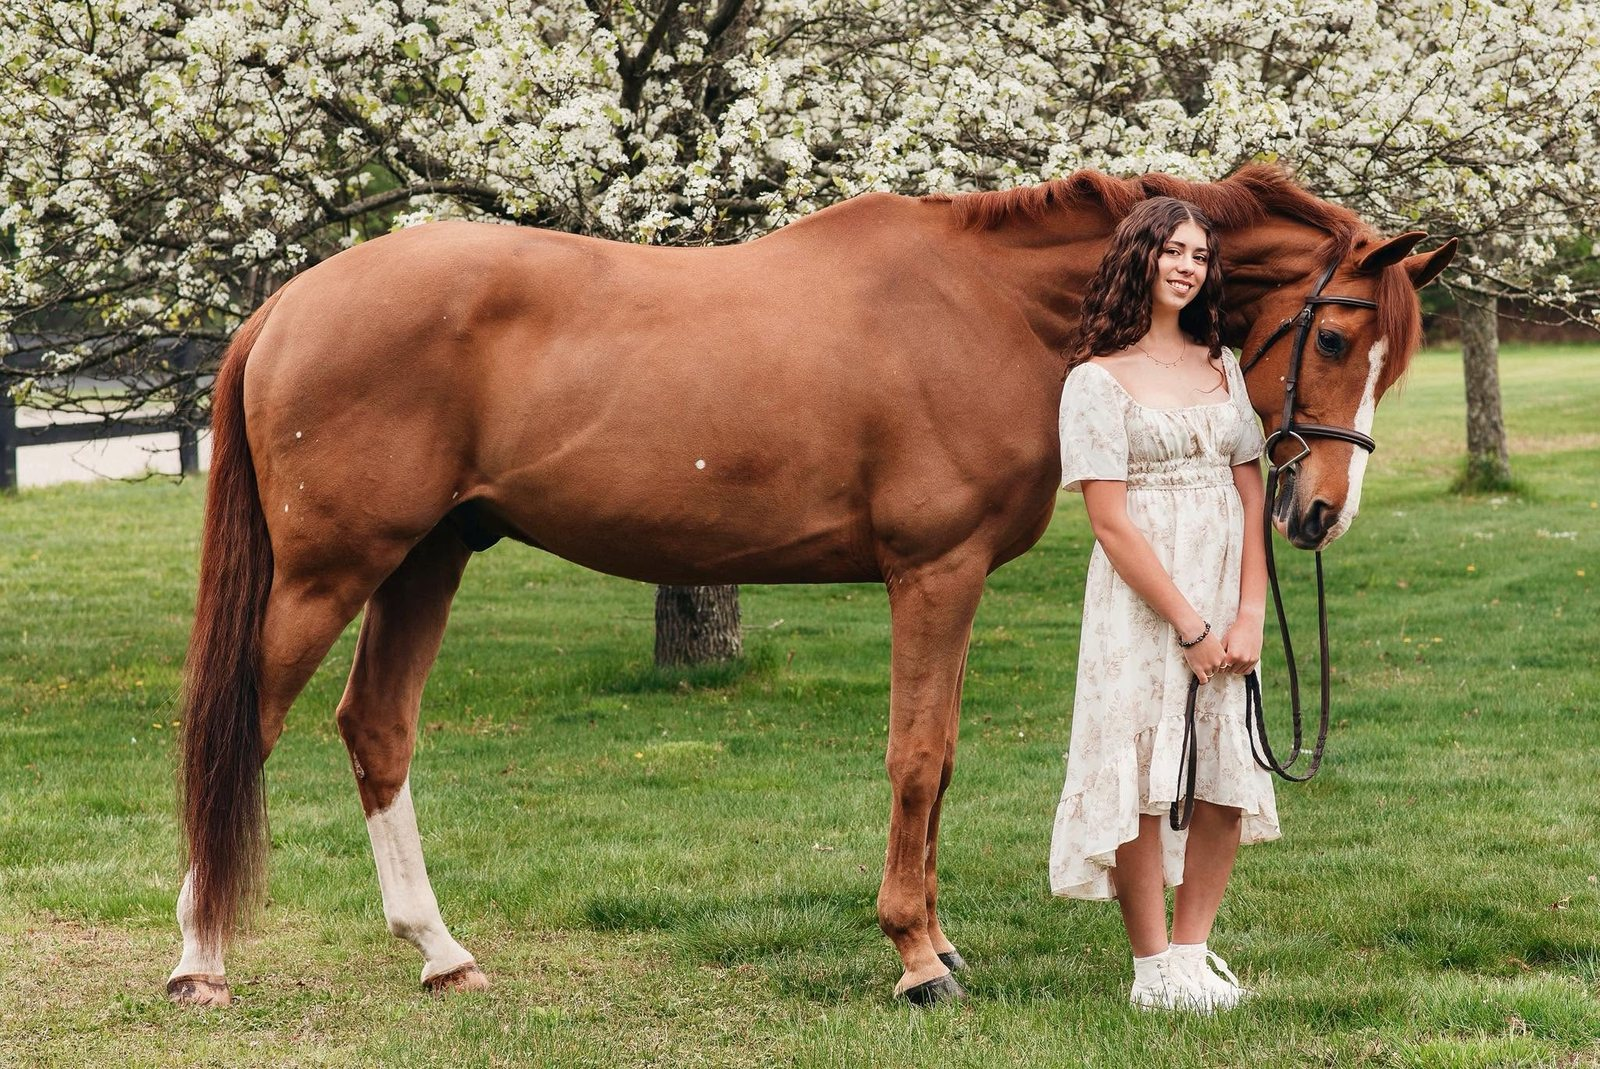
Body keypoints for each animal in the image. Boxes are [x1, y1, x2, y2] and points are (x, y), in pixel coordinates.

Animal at [167, 164, 1455, 1008]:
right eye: (1334, 338)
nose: (1319, 512)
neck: (993, 307)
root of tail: (289, 303)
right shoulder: (932, 574)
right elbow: (918, 756)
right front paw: (917, 960)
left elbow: (938, 757)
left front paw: (938, 940)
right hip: (332, 570)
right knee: (243, 727)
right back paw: (201, 958)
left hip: (427, 557)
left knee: (375, 728)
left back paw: (440, 950)